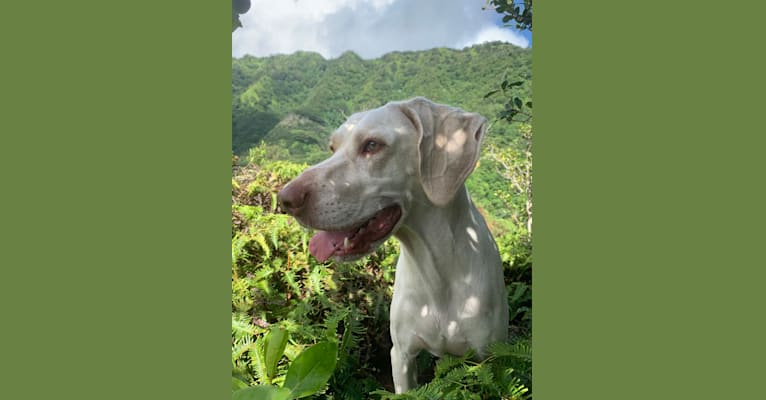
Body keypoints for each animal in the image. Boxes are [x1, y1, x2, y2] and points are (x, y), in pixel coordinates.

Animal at [278, 97, 510, 394]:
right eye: (332, 147)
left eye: (372, 145)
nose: (285, 199)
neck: (436, 273)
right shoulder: (401, 355)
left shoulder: (491, 361)